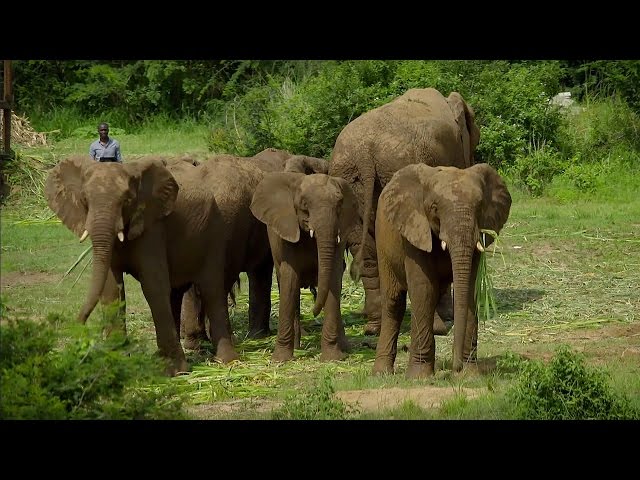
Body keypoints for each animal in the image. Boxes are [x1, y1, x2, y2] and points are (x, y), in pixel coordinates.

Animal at [45, 155, 273, 375]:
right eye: (85, 200)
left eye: (127, 200)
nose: (77, 327)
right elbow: (111, 289)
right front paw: (116, 364)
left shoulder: (152, 227)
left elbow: (153, 285)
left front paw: (175, 372)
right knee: (178, 291)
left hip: (214, 232)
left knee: (212, 288)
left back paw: (226, 361)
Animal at [250, 172, 361, 362]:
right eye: (304, 204)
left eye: (339, 204)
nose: (313, 312)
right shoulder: (287, 232)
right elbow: (290, 280)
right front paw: (280, 360)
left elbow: (333, 280)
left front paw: (332, 358)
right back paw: (296, 346)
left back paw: (345, 347)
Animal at [372, 163, 511, 378]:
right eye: (434, 208)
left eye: (480, 206)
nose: (456, 368)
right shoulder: (415, 230)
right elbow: (423, 290)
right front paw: (419, 377)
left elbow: (470, 290)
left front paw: (470, 375)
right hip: (382, 241)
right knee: (393, 302)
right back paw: (381, 373)